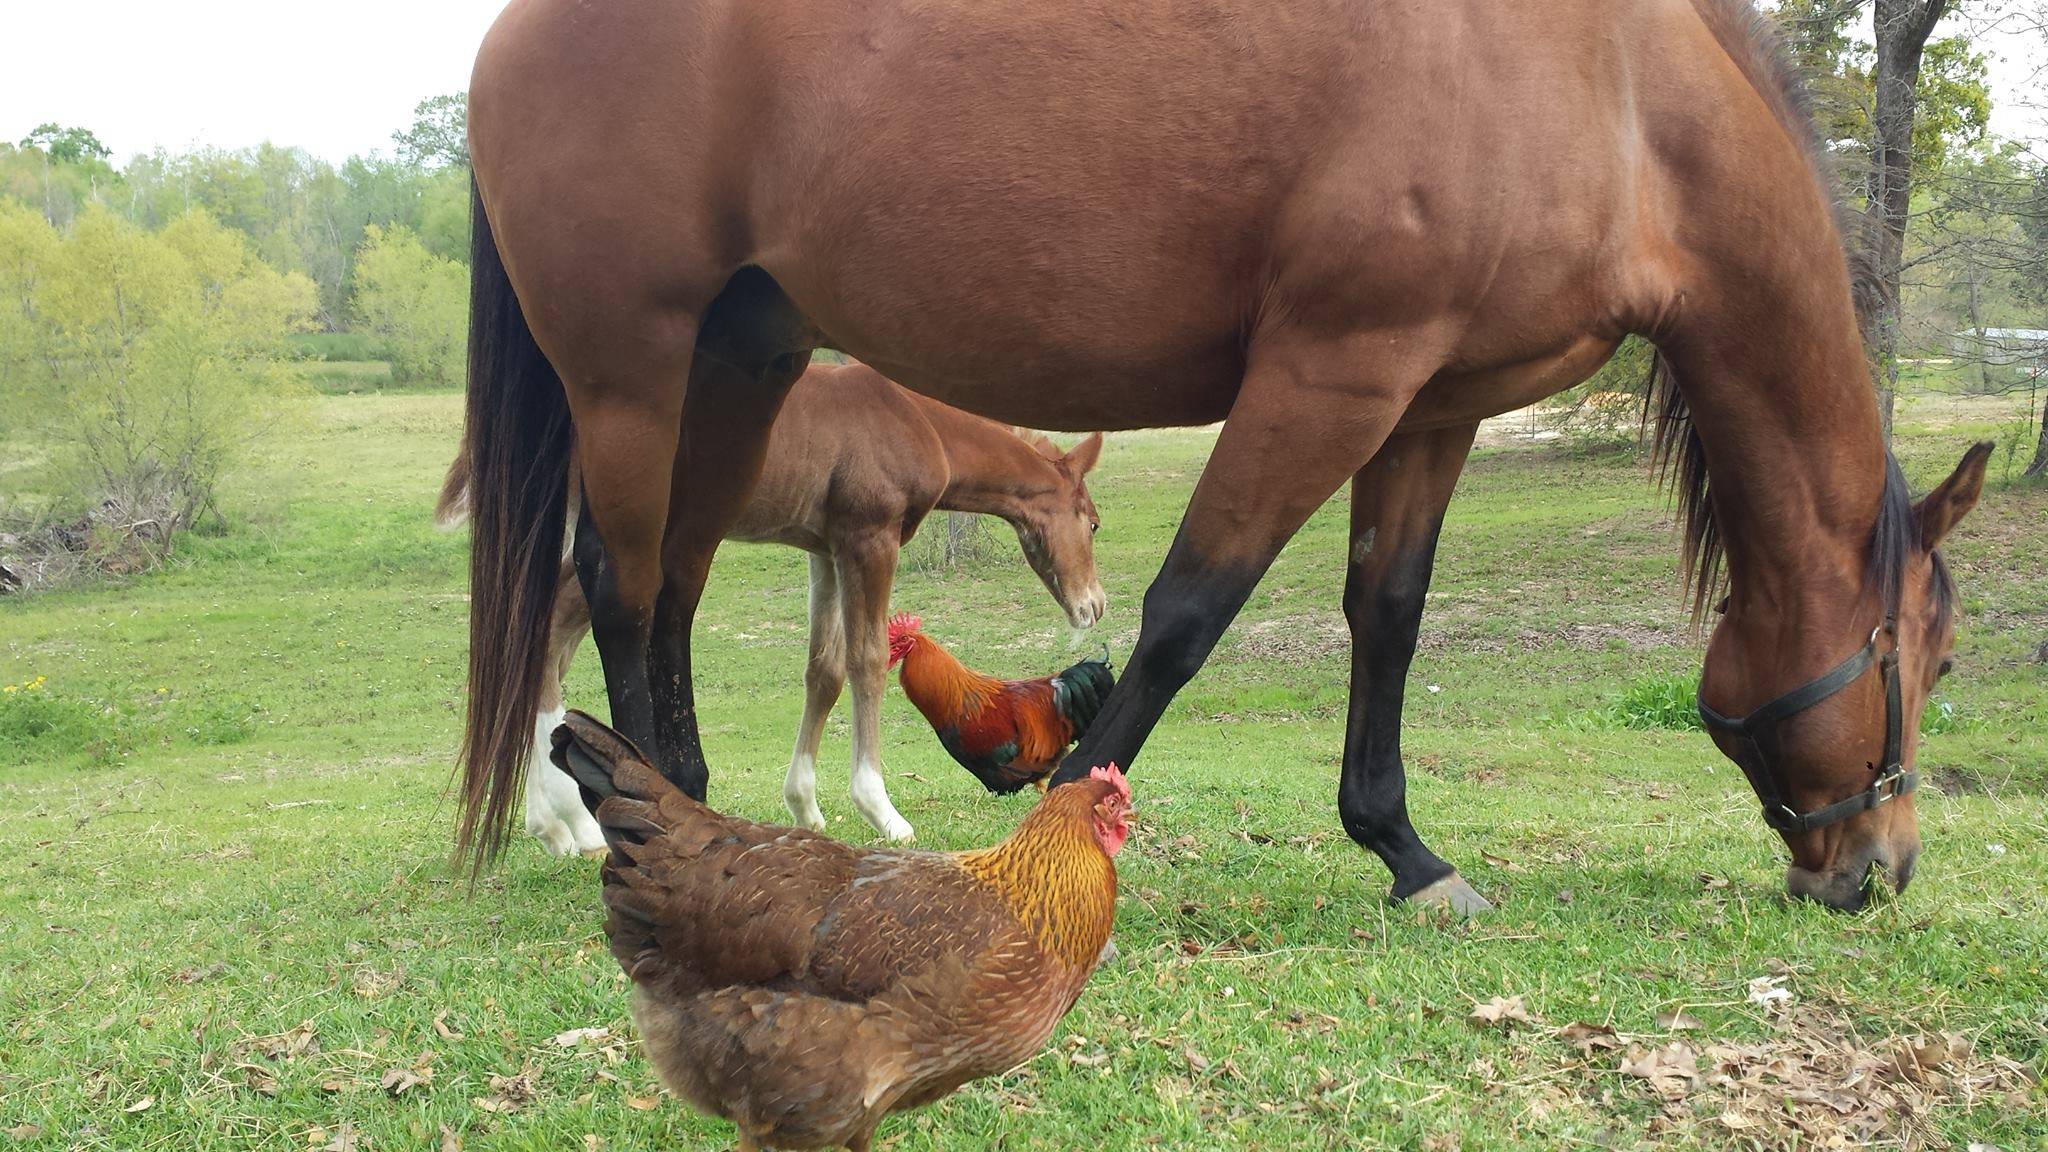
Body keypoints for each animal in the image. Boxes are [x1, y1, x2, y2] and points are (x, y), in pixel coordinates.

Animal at [434, 360, 1105, 852]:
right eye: (1094, 523)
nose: (1094, 606)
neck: (915, 420)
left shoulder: (824, 548)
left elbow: (824, 669)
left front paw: (805, 803)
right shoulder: (869, 537)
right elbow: (866, 660)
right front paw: (880, 809)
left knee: (538, 648)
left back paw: (552, 826)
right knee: (545, 639)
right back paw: (569, 822)